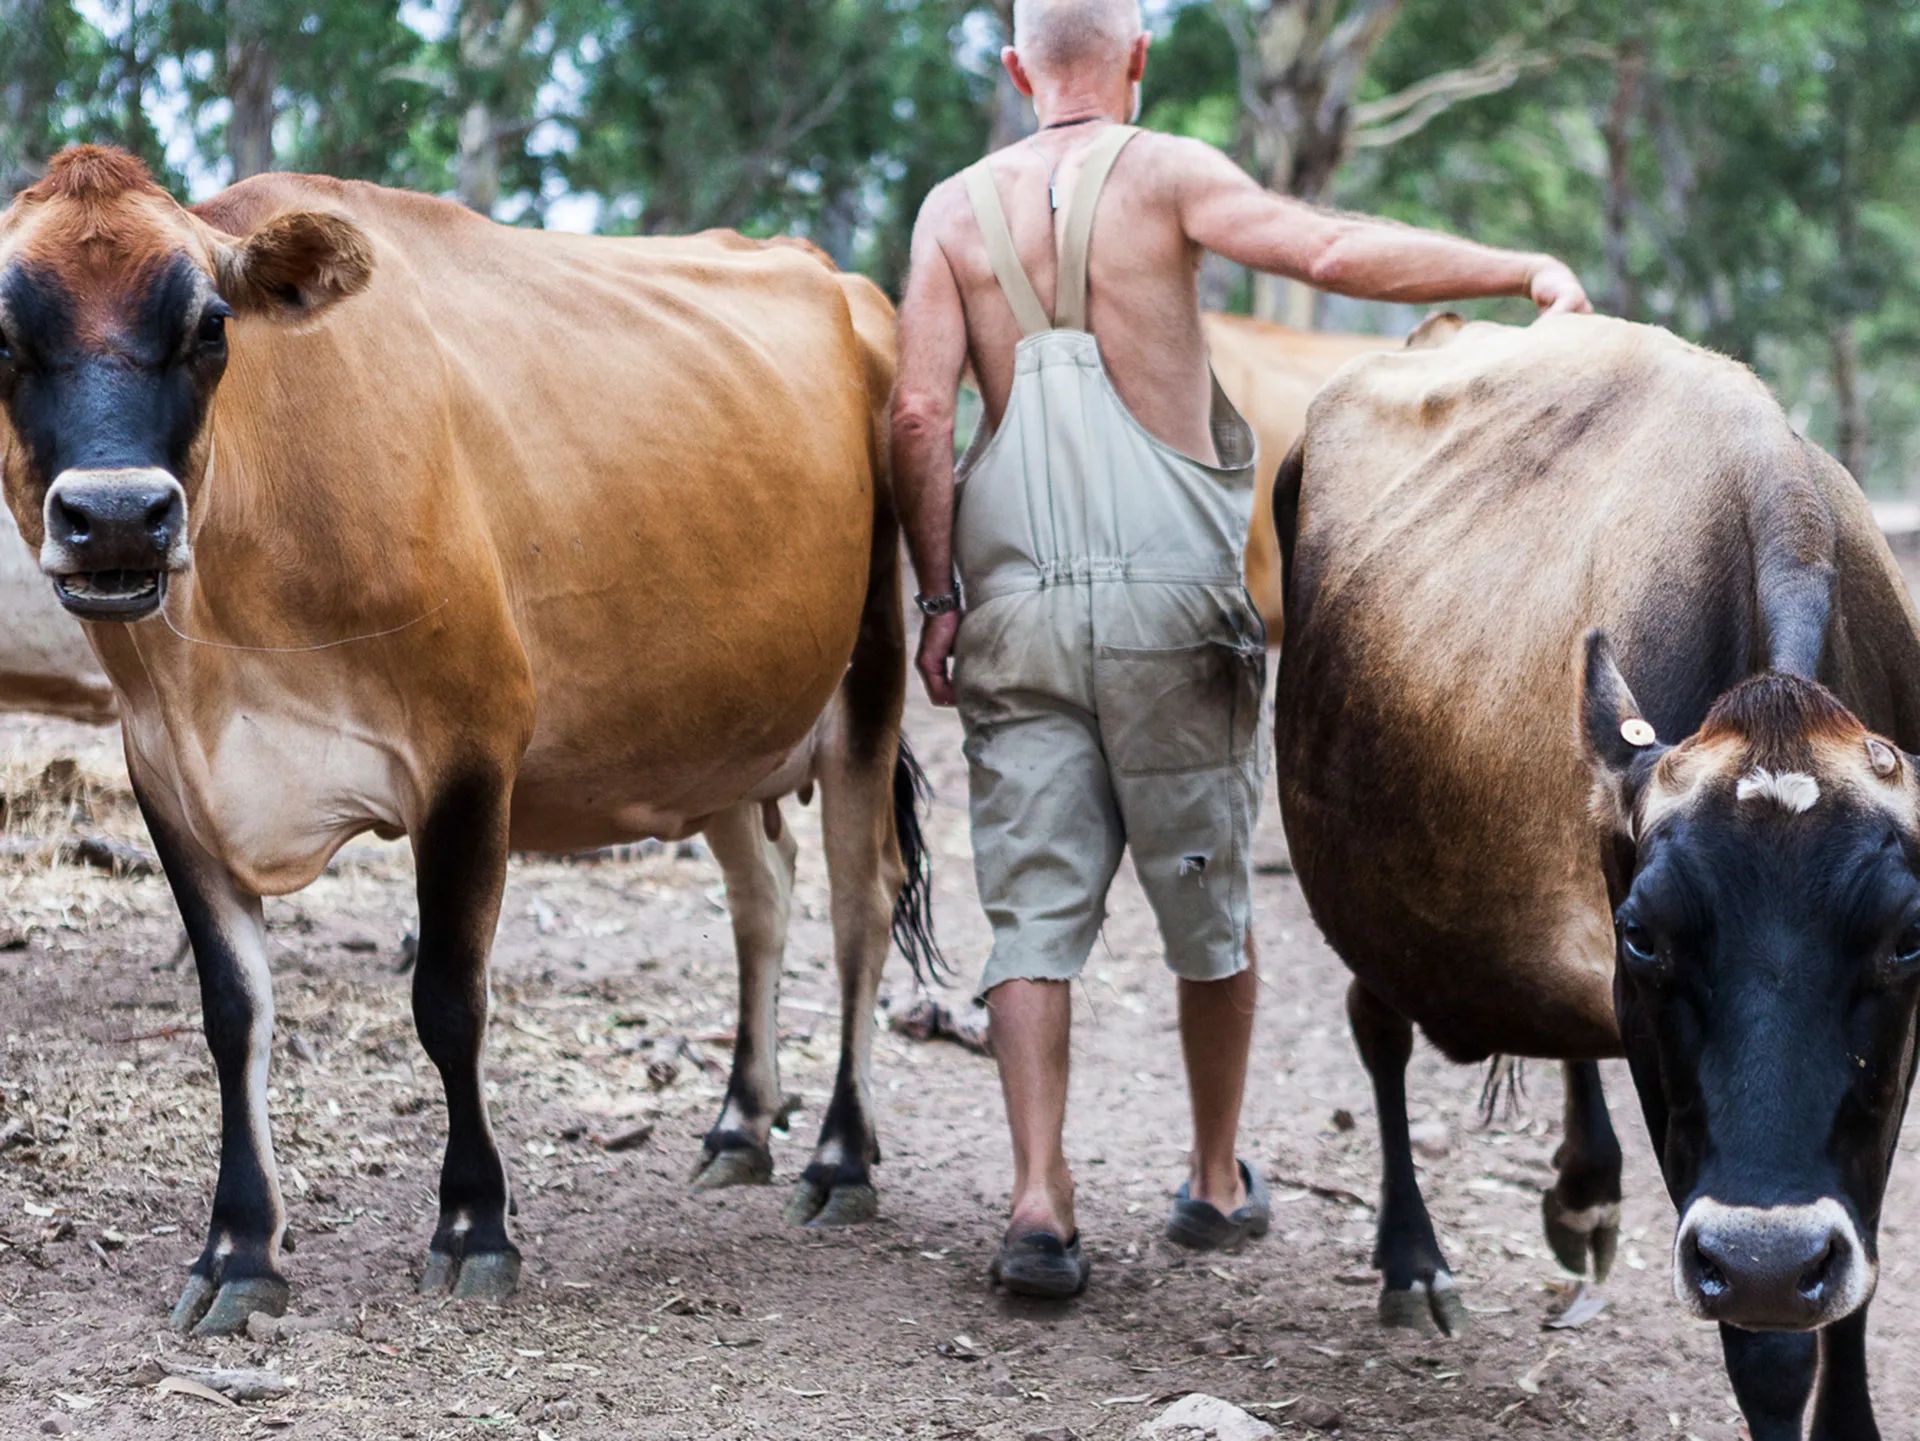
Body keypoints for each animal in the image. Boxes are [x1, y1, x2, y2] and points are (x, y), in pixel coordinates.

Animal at [0, 149, 933, 1343]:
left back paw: (840, 1156)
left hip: (873, 676)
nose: (118, 515)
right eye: (2, 332)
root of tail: (840, 279)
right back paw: (739, 1125)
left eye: (212, 324)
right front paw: (239, 1248)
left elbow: (449, 999)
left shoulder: (470, 751)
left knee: (862, 909)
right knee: (762, 896)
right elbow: (232, 1016)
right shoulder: (170, 782)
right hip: (720, 731)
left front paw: (474, 1225)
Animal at [1274, 312, 1920, 1435]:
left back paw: (1584, 1187)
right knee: (1377, 1026)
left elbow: (1852, 1279)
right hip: (1362, 895)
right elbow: (1765, 1345)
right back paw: (1413, 1260)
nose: (1766, 1255)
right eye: (1645, 934)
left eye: (1906, 936)